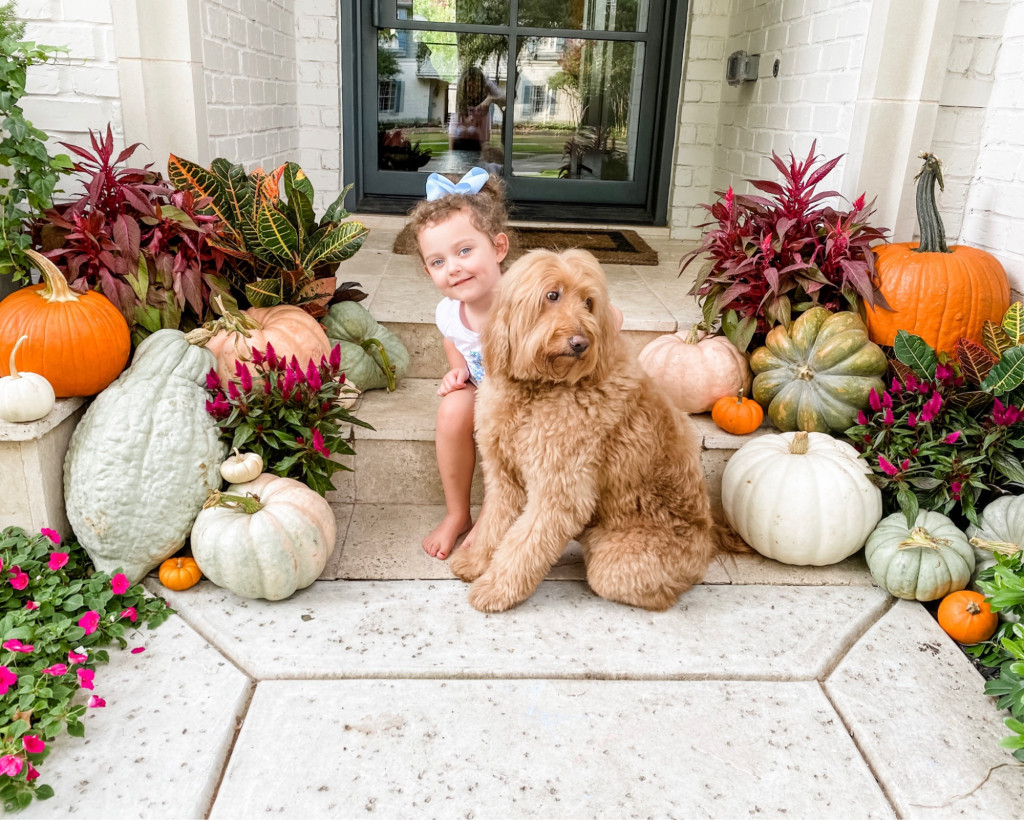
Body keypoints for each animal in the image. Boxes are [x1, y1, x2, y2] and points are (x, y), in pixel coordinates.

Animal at [452, 246, 749, 610]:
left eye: (589, 302)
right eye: (552, 295)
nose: (580, 342)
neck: (539, 389)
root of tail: (708, 535)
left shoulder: (559, 490)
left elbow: (524, 543)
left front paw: (497, 588)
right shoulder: (505, 477)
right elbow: (495, 524)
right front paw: (477, 561)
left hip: (620, 564)